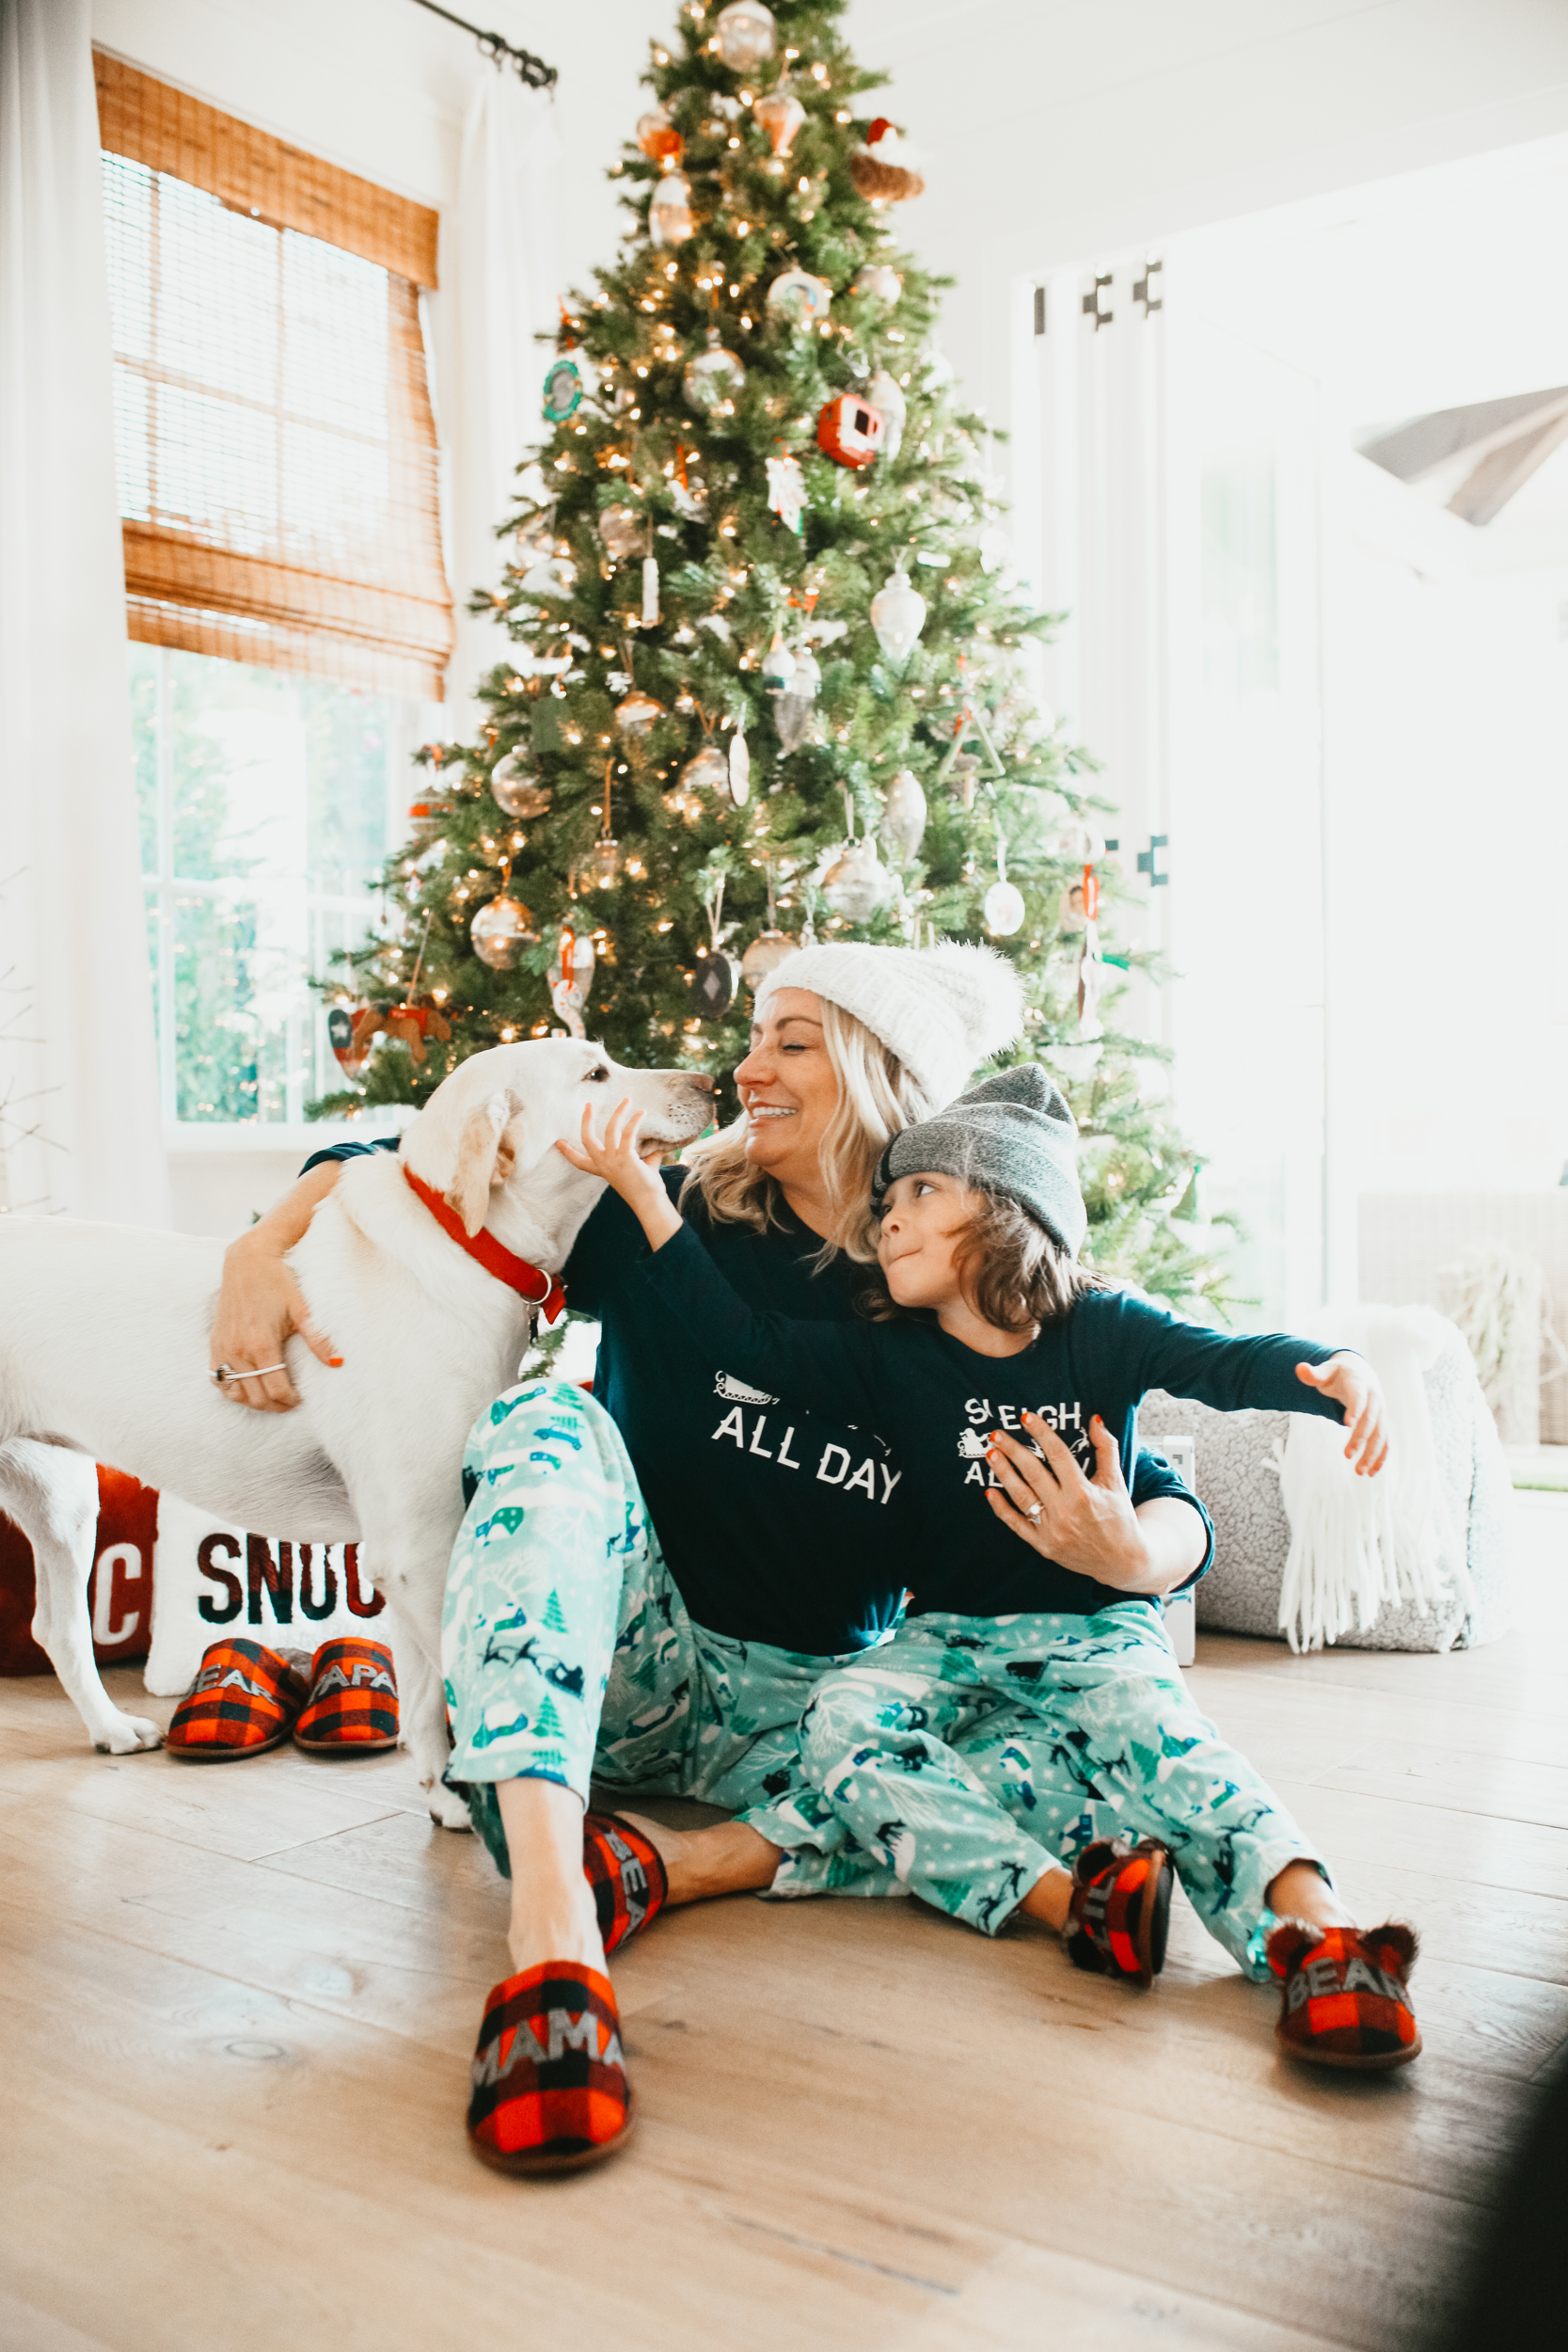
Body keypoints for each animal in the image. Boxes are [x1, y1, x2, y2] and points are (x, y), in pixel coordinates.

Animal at [0, 1040, 709, 1825]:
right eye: (595, 1075)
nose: (712, 1080)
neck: (464, 1245)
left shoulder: (408, 1547)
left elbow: (427, 1697)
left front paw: (442, 1796)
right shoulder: (419, 1550)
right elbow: (455, 1682)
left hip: (62, 1500)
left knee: (58, 1629)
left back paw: (110, 1729)